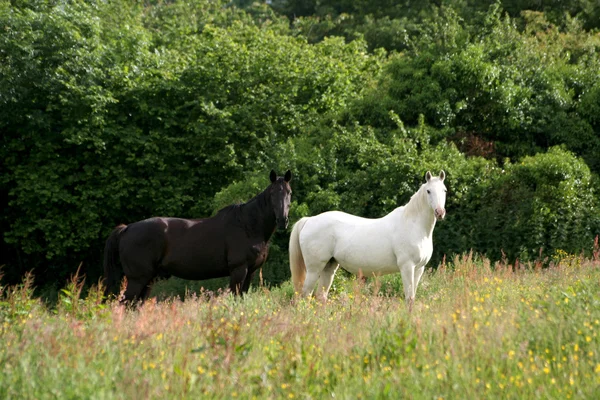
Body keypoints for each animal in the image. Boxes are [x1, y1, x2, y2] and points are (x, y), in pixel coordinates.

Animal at [103, 167, 292, 302]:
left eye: (289, 192)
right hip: (138, 279)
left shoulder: (250, 272)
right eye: (272, 193)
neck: (248, 226)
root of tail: (127, 228)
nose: (282, 220)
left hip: (147, 279)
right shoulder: (238, 270)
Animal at [288, 170, 448, 304]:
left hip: (329, 267)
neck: (413, 225)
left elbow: (412, 298)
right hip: (314, 269)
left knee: (321, 296)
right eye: (428, 191)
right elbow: (409, 298)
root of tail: (309, 220)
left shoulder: (419, 269)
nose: (440, 212)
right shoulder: (407, 267)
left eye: (444, 190)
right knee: (305, 295)